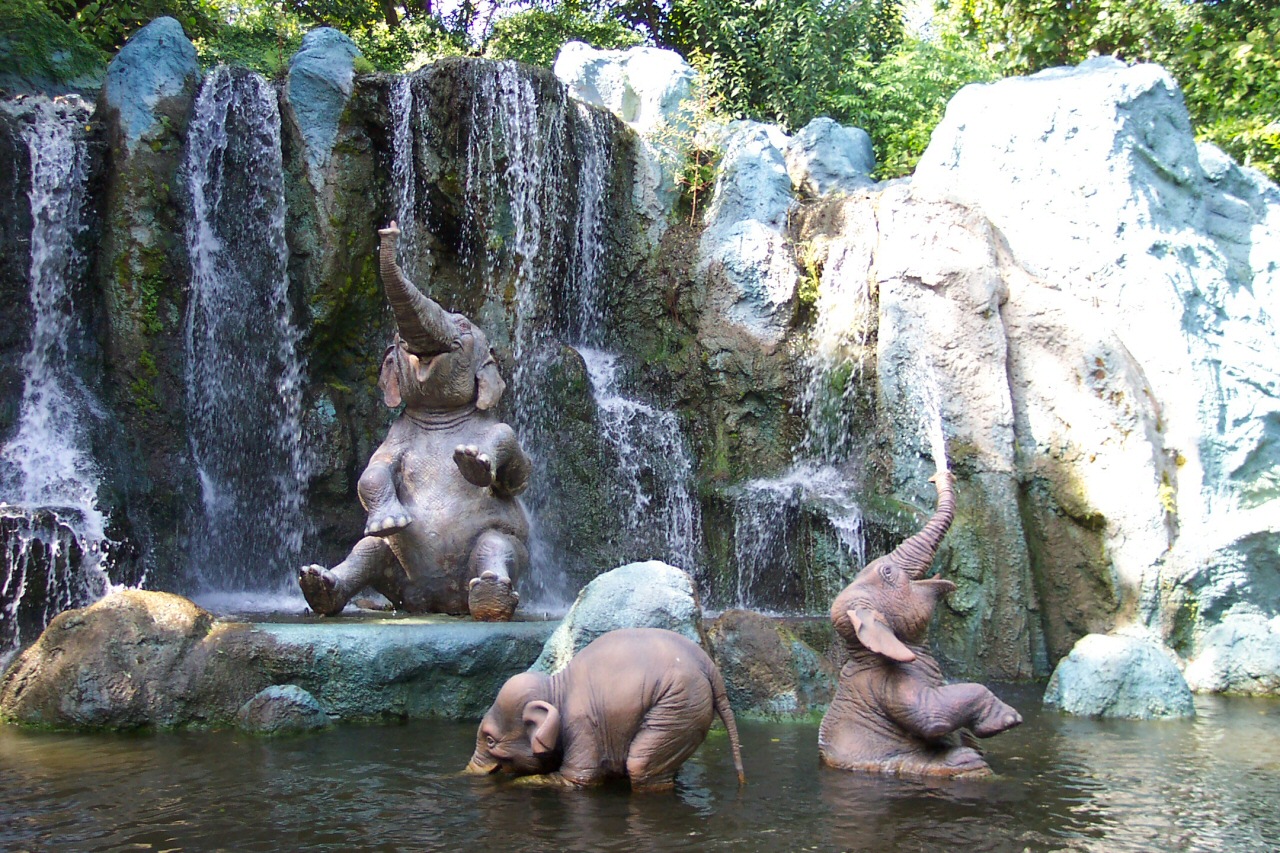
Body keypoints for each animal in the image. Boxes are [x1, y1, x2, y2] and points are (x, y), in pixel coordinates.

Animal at [299, 219, 529, 617]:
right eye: (396, 339)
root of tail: (435, 601)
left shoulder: (502, 434)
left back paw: (490, 596)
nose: (388, 230)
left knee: (496, 545)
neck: (440, 416)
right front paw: (390, 520)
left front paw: (473, 461)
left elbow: (517, 474)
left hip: (502, 543)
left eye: (463, 326)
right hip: (391, 563)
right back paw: (319, 585)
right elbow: (372, 470)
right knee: (366, 551)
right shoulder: (396, 436)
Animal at [465, 627, 747, 788]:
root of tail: (710, 667)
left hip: (679, 704)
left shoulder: (582, 727)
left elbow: (577, 780)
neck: (555, 686)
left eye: (490, 740)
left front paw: (515, 783)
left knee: (641, 765)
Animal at [819, 471, 1018, 778]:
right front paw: (1010, 719)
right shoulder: (888, 682)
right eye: (888, 572)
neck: (863, 652)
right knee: (964, 760)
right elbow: (931, 715)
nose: (938, 476)